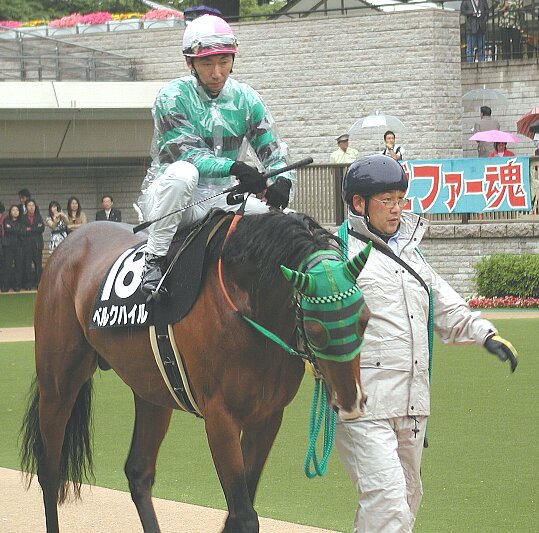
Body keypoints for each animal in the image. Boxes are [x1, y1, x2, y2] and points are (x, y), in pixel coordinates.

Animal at [20, 210, 371, 533]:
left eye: (365, 318)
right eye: (315, 328)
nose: (351, 403)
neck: (246, 306)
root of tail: (70, 242)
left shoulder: (267, 417)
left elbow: (238, 511)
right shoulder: (220, 417)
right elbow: (243, 515)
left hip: (152, 392)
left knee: (138, 471)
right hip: (58, 382)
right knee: (49, 470)